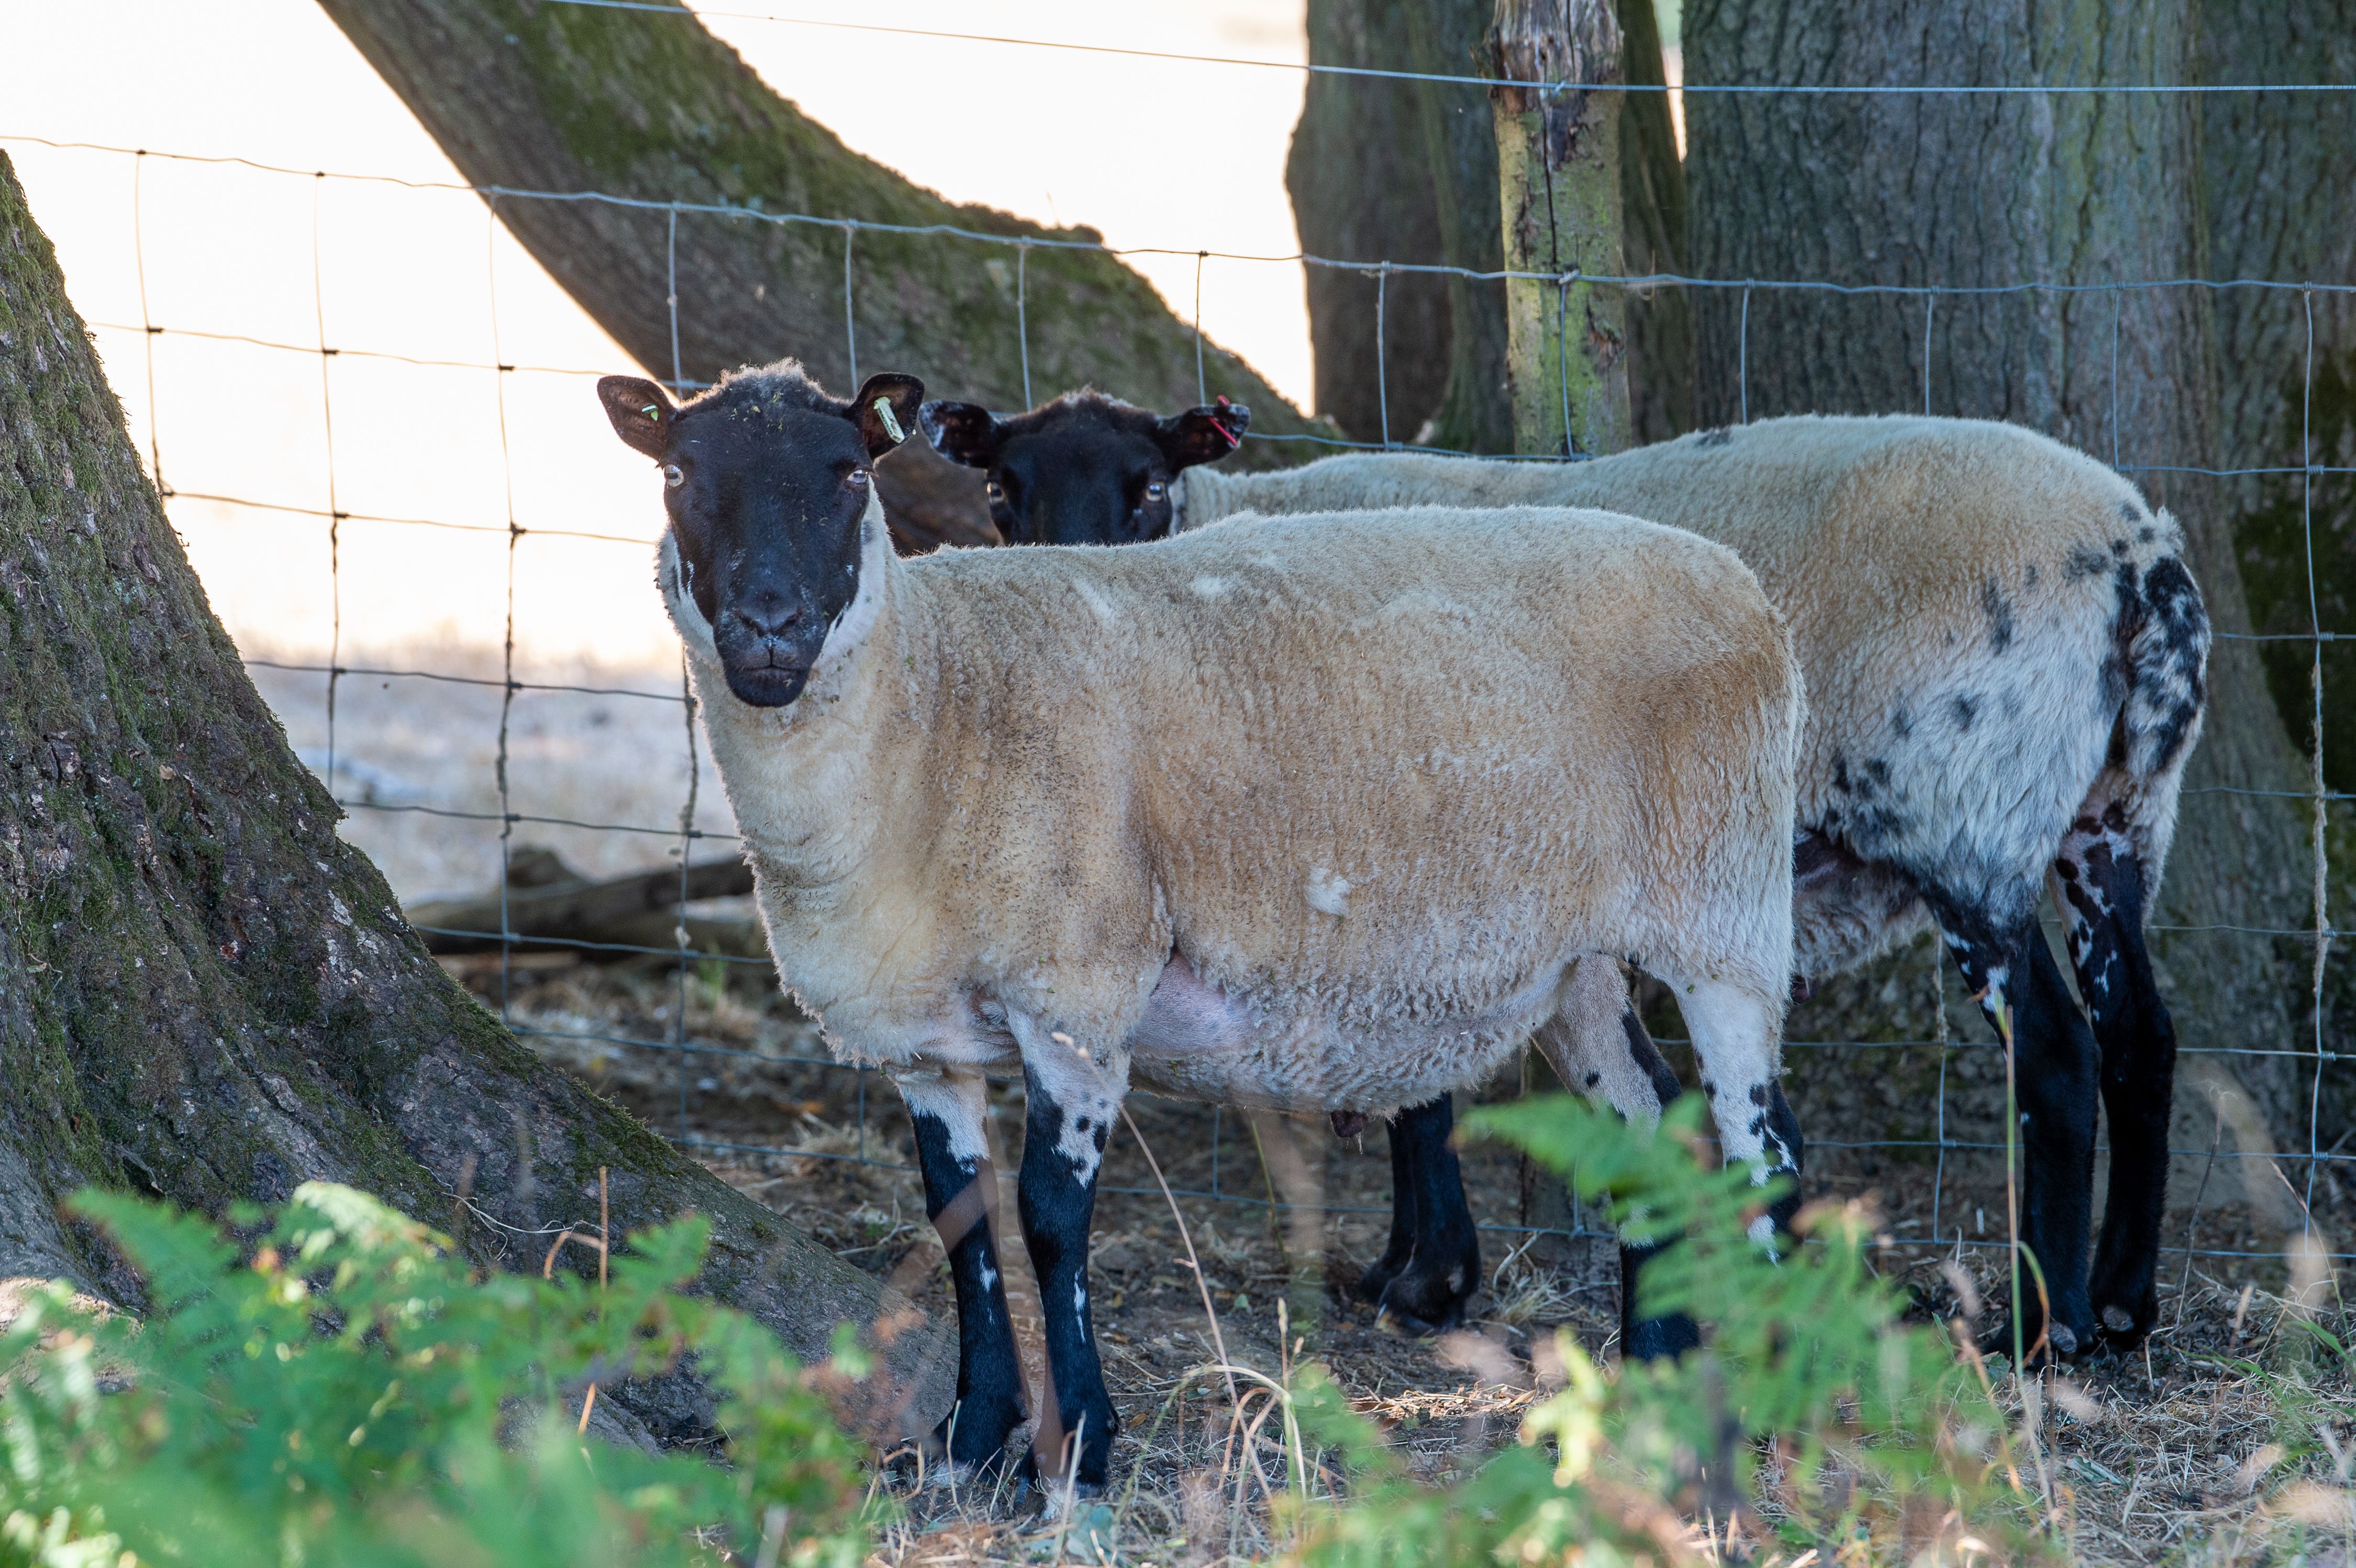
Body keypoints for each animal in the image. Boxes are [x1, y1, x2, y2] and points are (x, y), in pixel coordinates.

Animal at [594, 358, 1800, 1488]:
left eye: (851, 474)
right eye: (676, 476)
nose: (769, 629)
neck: (939, 700)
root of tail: (1737, 580)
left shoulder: (1077, 987)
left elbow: (1048, 1218)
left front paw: (1078, 1451)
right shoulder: (924, 1036)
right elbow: (961, 1219)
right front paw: (964, 1444)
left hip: (1726, 899)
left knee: (1763, 1147)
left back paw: (1773, 1386)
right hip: (1575, 956)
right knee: (1656, 1133)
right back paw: (1651, 1392)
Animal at [1169, 414, 2215, 1356]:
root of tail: (2143, 563)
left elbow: (1421, 1104)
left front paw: (1425, 1284)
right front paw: (1408, 1272)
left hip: (1971, 820)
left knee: (2058, 1056)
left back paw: (2043, 1330)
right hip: (2114, 818)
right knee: (2142, 1036)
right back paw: (2122, 1305)